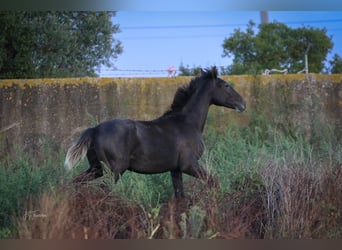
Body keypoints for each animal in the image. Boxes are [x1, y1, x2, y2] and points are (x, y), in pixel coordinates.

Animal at [65, 67, 246, 198]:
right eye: (226, 85)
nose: (243, 103)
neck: (187, 123)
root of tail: (95, 129)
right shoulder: (189, 165)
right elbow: (213, 181)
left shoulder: (176, 170)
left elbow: (181, 197)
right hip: (114, 170)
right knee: (104, 191)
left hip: (96, 168)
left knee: (74, 183)